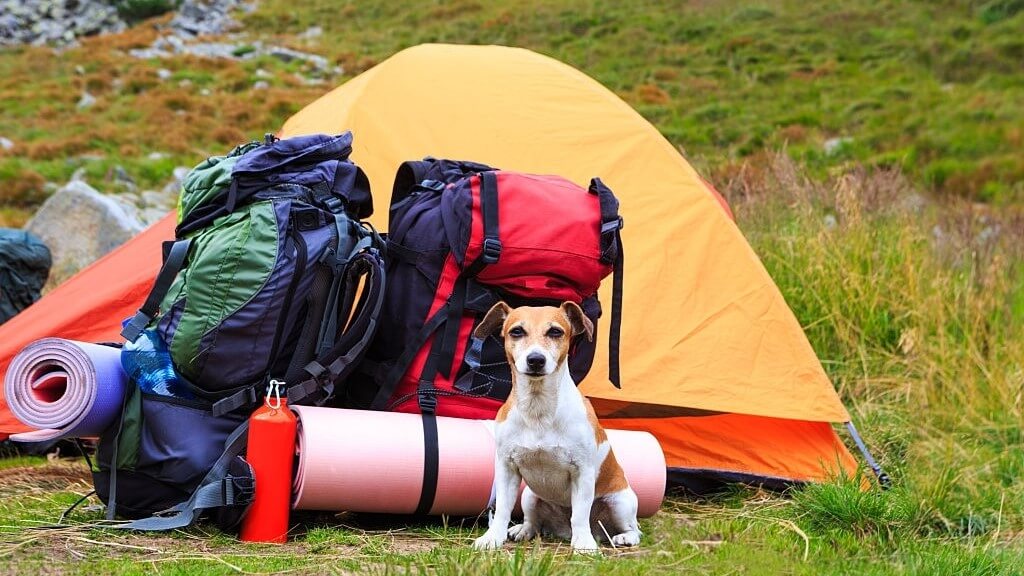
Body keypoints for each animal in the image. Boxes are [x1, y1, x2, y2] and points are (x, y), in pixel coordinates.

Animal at [471, 301, 638, 553]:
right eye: (516, 331)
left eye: (555, 332)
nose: (536, 359)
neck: (538, 408)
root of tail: (562, 530)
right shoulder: (506, 468)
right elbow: (502, 509)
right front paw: (492, 537)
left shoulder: (582, 472)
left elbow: (579, 514)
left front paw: (584, 544)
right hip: (529, 497)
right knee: (533, 521)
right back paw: (523, 529)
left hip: (621, 503)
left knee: (634, 528)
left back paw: (624, 537)